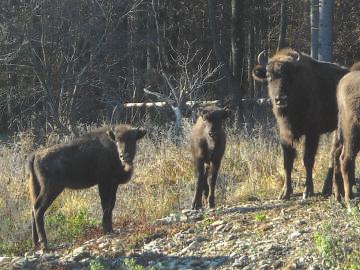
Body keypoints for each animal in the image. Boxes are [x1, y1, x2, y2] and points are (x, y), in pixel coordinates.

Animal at [252, 48, 348, 200]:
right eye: (268, 75)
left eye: (290, 75)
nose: (280, 99)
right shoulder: (285, 136)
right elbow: (287, 162)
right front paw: (285, 192)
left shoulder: (312, 134)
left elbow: (307, 160)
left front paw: (307, 191)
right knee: (334, 154)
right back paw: (326, 190)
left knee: (334, 155)